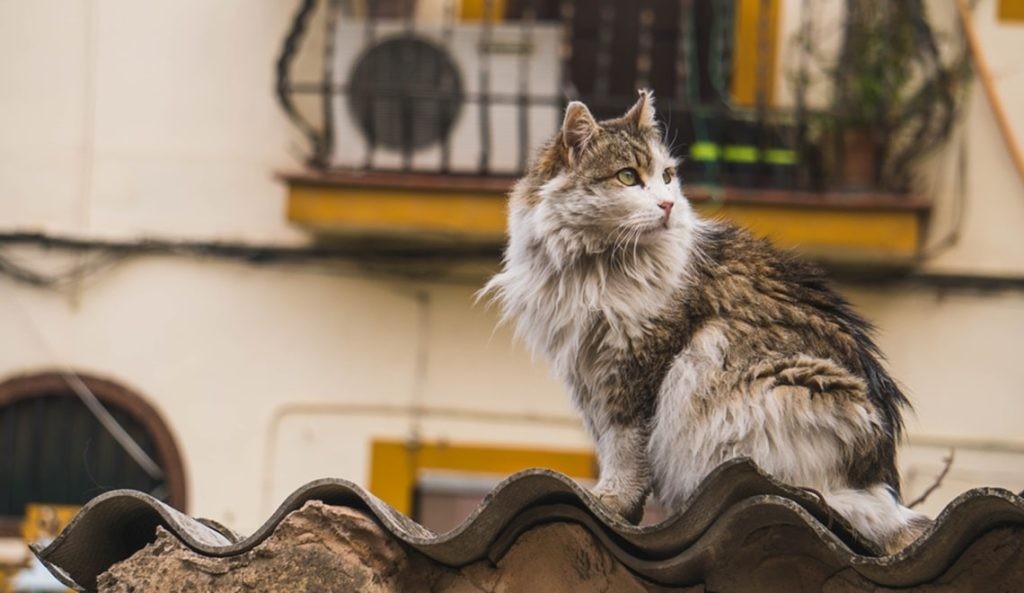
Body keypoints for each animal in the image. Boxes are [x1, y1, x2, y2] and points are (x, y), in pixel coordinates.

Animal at [483, 90, 933, 553]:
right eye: (627, 177)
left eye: (666, 176)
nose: (667, 205)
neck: (595, 268)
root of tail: (882, 485)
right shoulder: (588, 374)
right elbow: (608, 443)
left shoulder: (638, 369)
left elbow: (626, 447)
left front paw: (613, 500)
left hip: (763, 382)